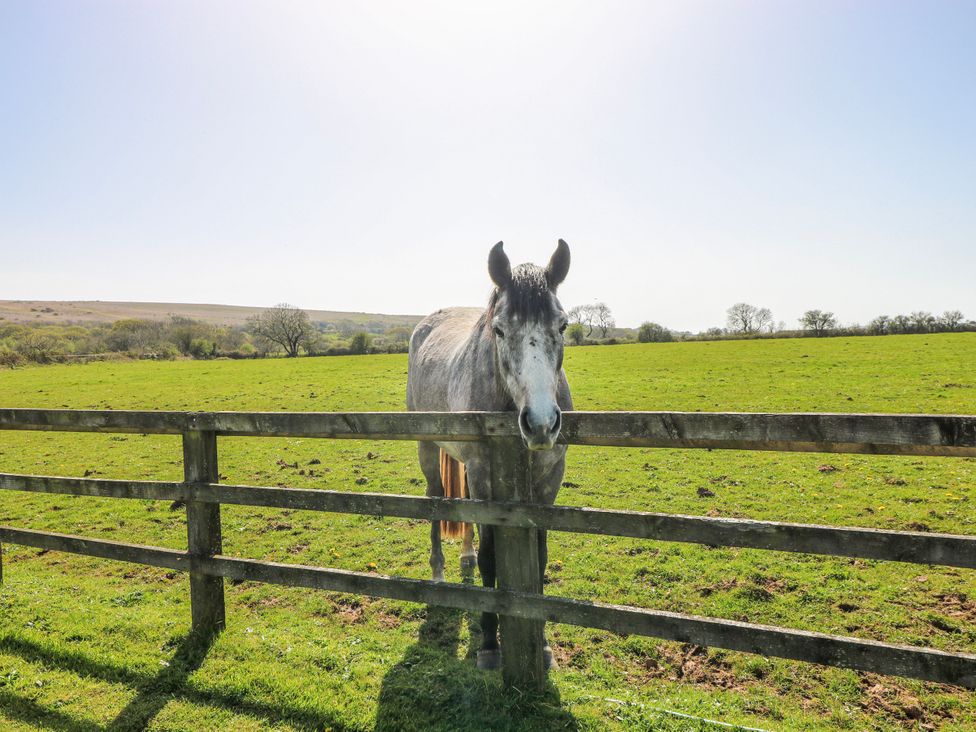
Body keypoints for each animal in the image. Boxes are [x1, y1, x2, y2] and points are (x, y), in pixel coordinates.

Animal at [406, 239, 573, 671]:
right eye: (499, 329)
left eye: (562, 325)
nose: (541, 423)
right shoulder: (484, 477)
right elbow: (491, 556)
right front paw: (488, 644)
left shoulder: (548, 481)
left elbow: (539, 558)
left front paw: (542, 645)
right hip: (429, 447)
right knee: (436, 501)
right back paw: (438, 574)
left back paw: (462, 555)